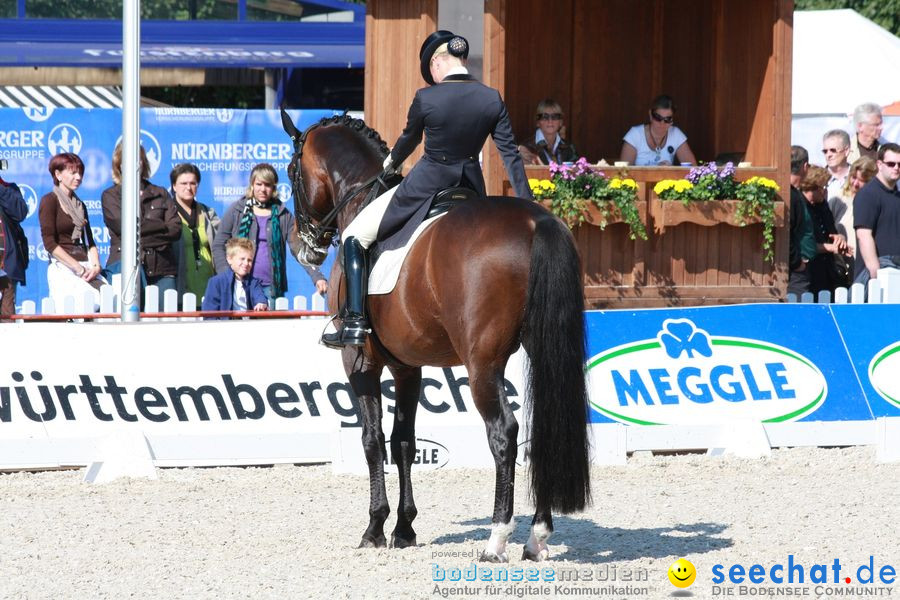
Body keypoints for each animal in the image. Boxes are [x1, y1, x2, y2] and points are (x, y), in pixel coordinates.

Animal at [284, 112, 592, 564]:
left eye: (292, 171)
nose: (304, 247)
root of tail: (540, 223)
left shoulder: (361, 363)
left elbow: (373, 440)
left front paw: (375, 528)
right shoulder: (407, 366)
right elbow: (404, 442)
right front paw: (404, 528)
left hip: (482, 365)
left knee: (504, 433)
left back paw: (496, 539)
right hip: (540, 354)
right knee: (542, 432)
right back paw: (537, 538)